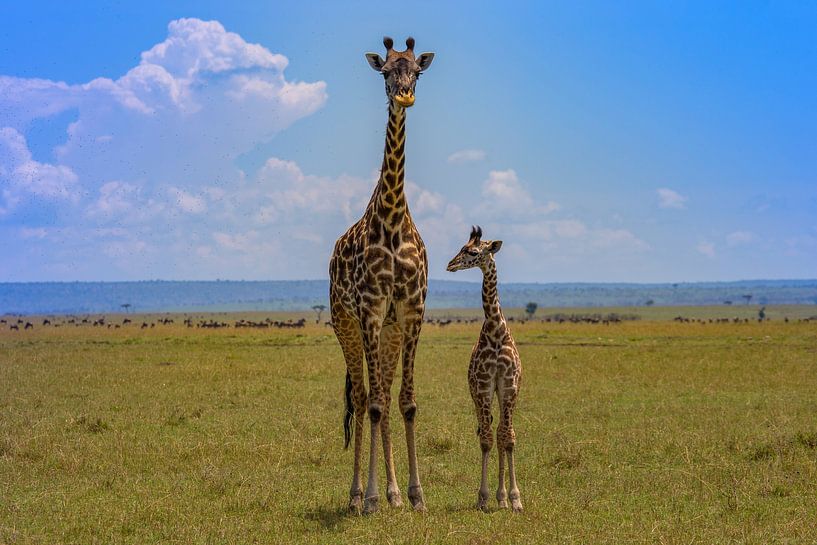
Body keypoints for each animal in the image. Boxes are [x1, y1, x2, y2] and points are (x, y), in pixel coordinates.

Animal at [447, 226, 523, 512]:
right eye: (461, 247)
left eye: (472, 251)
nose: (450, 264)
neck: (496, 330)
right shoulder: (482, 387)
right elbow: (487, 440)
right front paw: (483, 497)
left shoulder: (509, 385)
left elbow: (507, 438)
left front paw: (515, 499)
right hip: (482, 395)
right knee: (489, 432)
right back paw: (497, 497)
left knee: (501, 433)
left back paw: (503, 498)